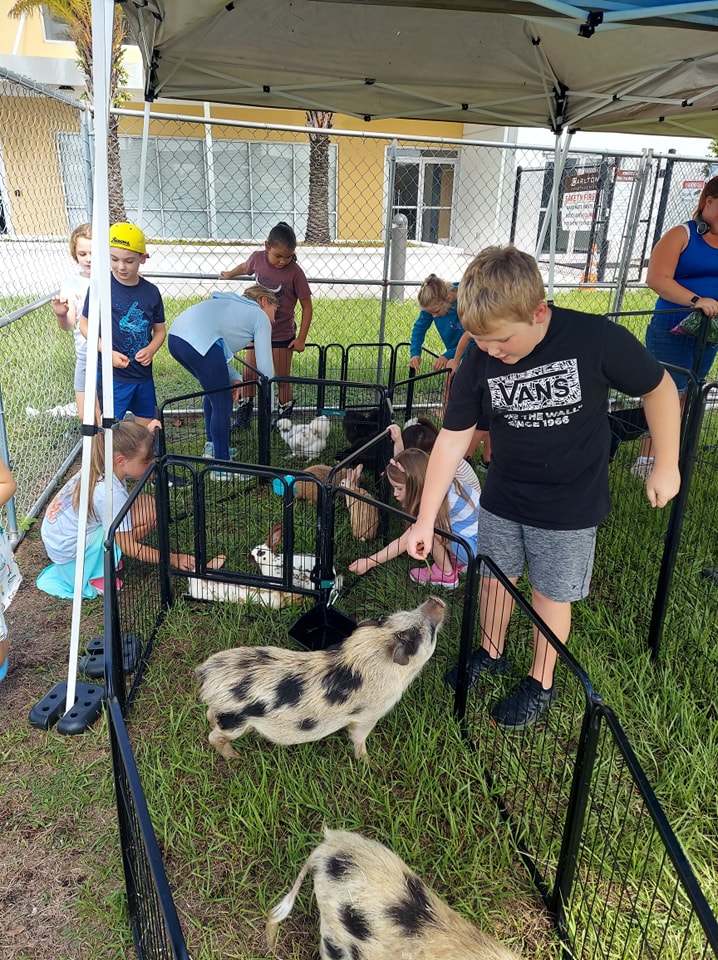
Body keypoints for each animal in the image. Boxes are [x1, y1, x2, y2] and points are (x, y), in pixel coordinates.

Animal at [194, 596, 448, 760]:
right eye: (424, 633)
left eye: (405, 613)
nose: (436, 599)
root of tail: (207, 673)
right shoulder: (368, 714)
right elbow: (359, 736)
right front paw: (366, 761)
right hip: (235, 720)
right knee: (213, 737)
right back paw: (235, 757)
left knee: (209, 715)